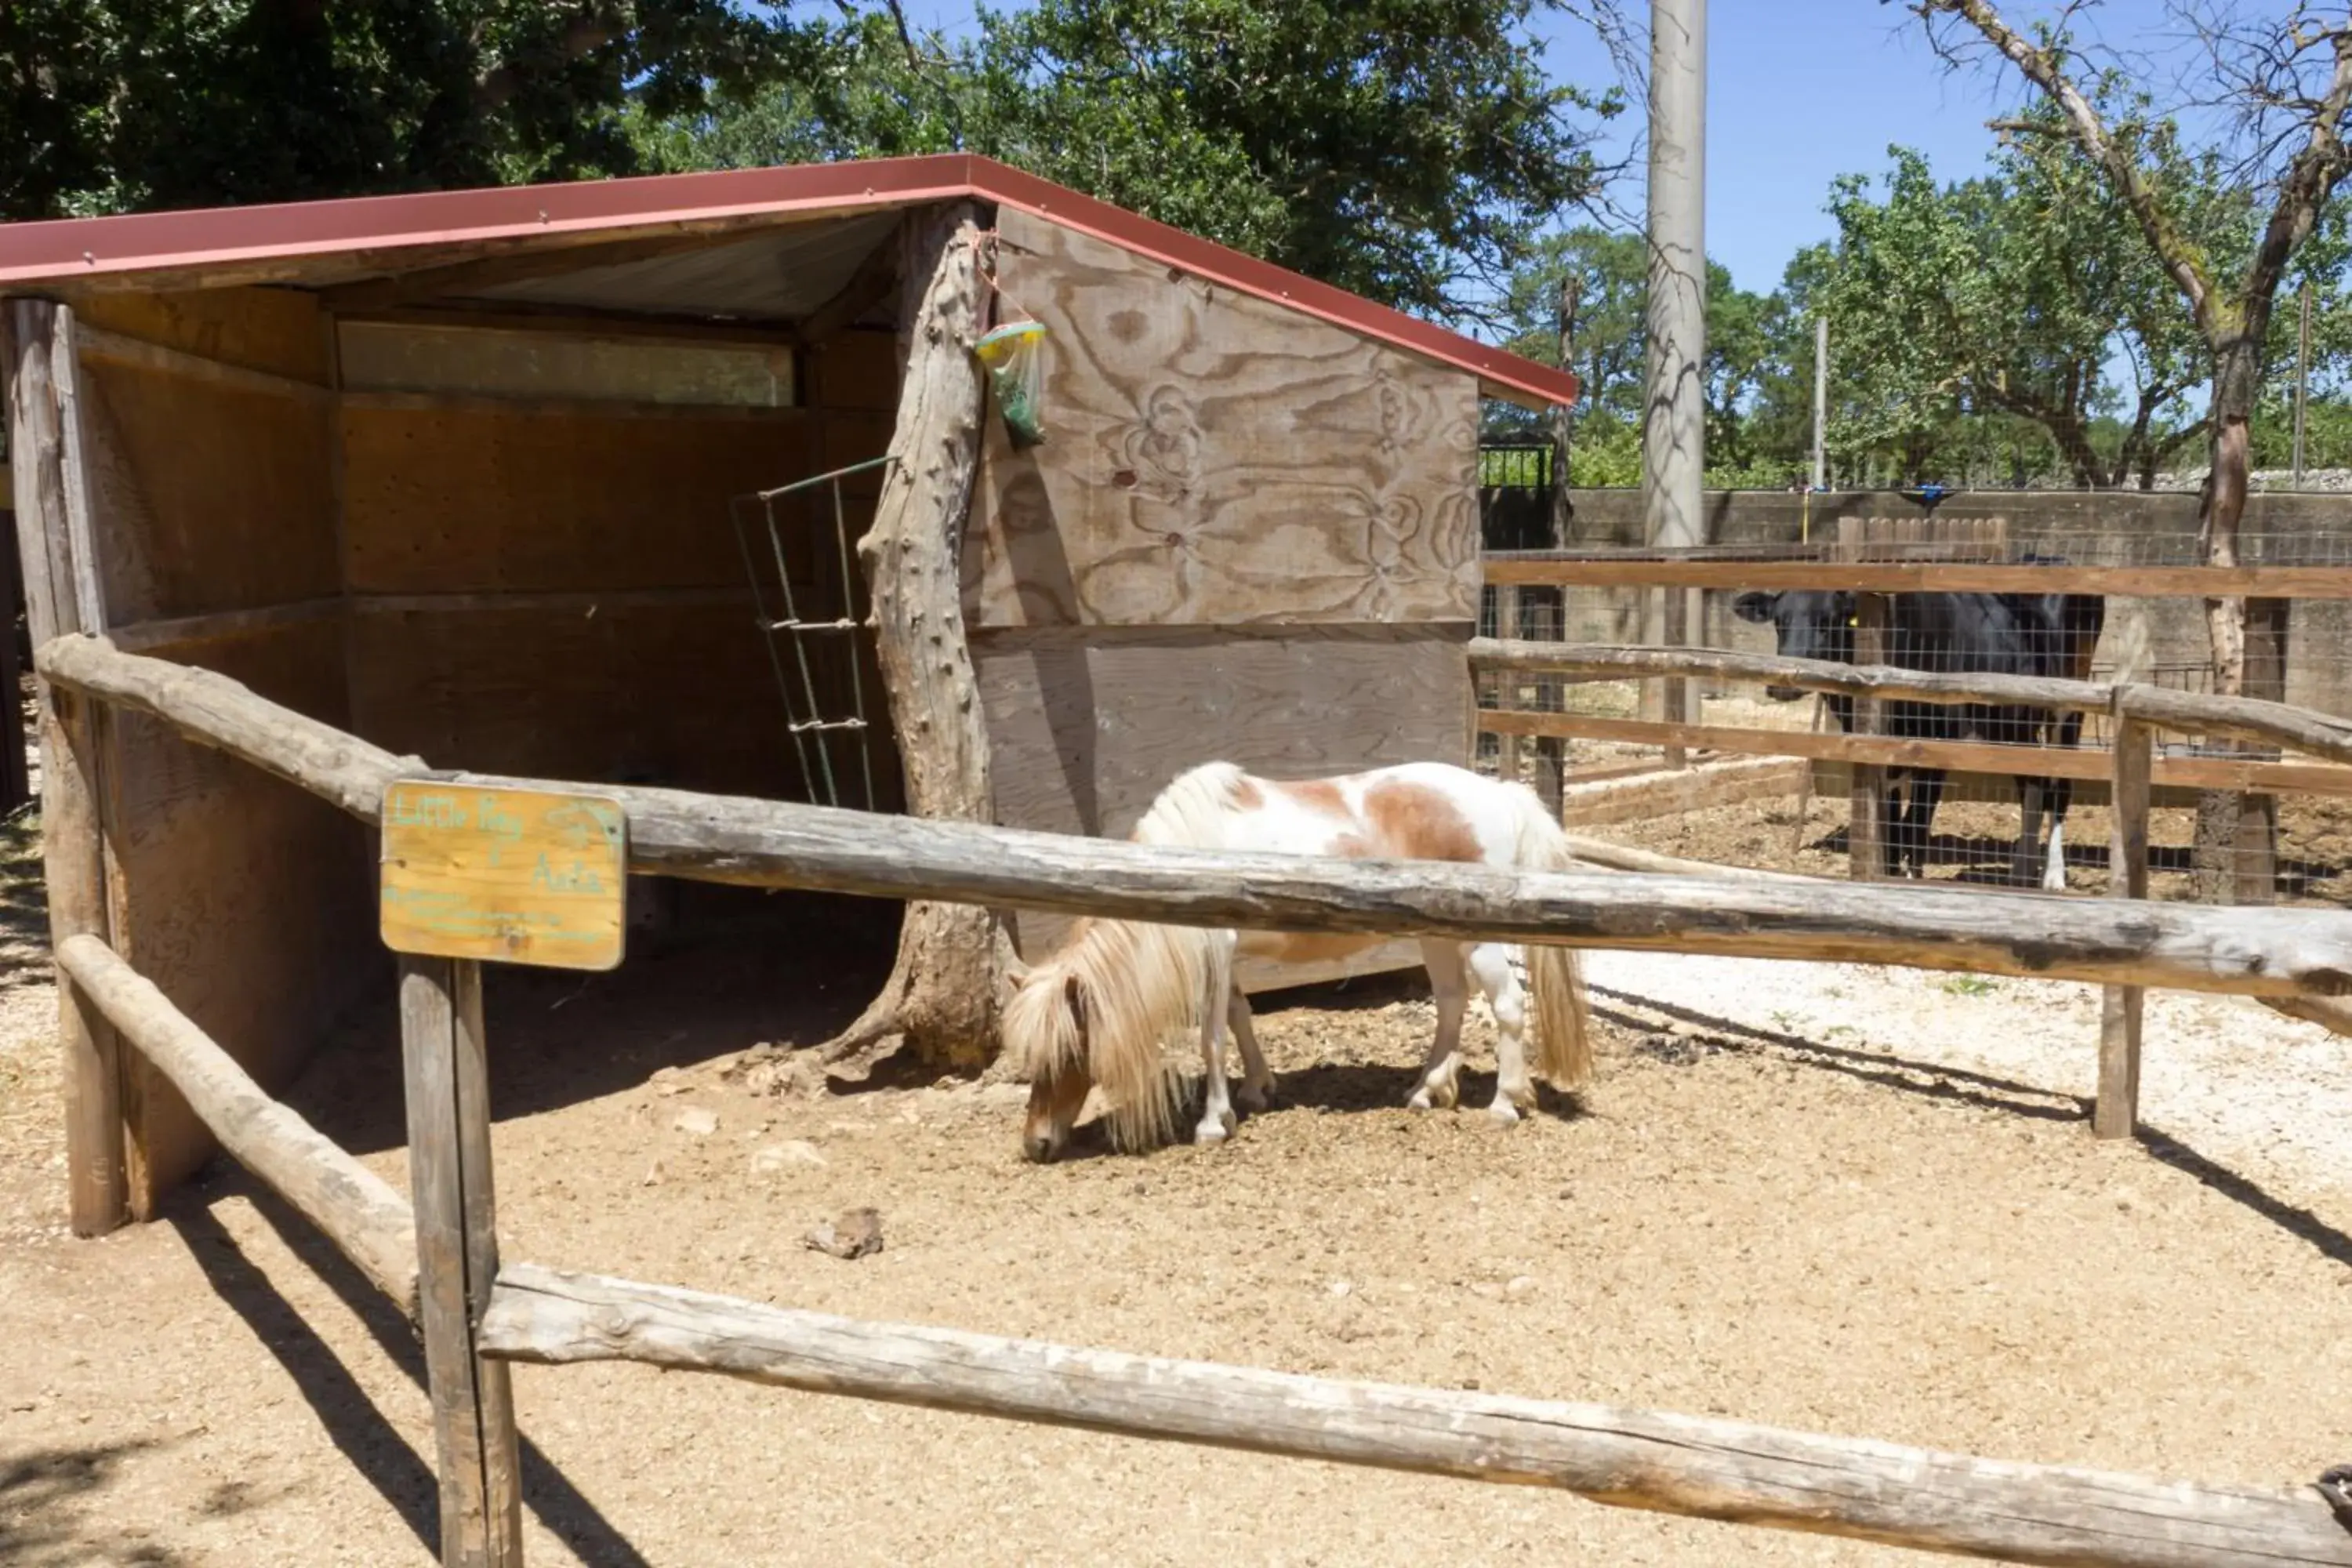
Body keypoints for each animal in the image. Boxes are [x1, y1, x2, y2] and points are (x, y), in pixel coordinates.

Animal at [1002, 766, 1590, 1161]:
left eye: (1068, 1053)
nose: (1037, 1144)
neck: (1186, 861)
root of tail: (1500, 794)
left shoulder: (1215, 953)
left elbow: (1211, 1039)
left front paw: (1213, 1123)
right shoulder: (1225, 961)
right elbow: (1239, 1019)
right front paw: (1257, 1091)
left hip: (1478, 941)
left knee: (1508, 1005)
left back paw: (1505, 1103)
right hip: (1437, 937)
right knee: (1451, 1001)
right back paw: (1427, 1091)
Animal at [1731, 580, 2117, 893]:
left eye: (1830, 620)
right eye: (1779, 620)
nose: (1783, 687)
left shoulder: (1938, 740)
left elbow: (1915, 821)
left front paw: (1910, 877)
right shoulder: (1879, 748)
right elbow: (1890, 822)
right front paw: (1890, 873)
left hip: (2067, 706)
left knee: (2057, 785)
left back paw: (2049, 876)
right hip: (2010, 724)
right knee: (2031, 783)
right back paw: (2025, 871)